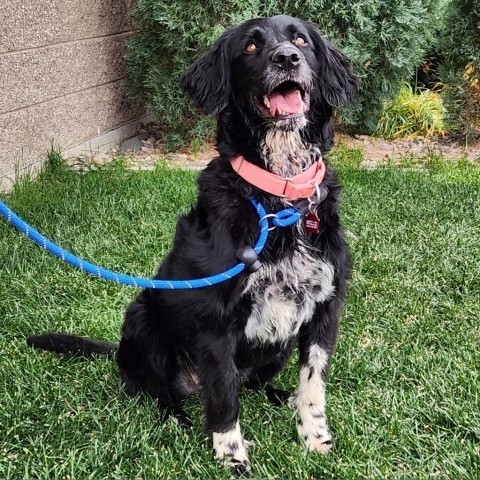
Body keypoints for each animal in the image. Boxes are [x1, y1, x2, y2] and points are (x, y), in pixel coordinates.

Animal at [26, 14, 356, 472]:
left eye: (302, 41)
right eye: (251, 47)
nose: (286, 58)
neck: (279, 199)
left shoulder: (324, 310)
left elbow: (312, 386)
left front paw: (314, 439)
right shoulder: (215, 322)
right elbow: (223, 399)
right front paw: (232, 458)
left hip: (279, 347)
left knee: (253, 385)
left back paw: (278, 397)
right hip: (142, 317)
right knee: (155, 391)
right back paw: (176, 419)